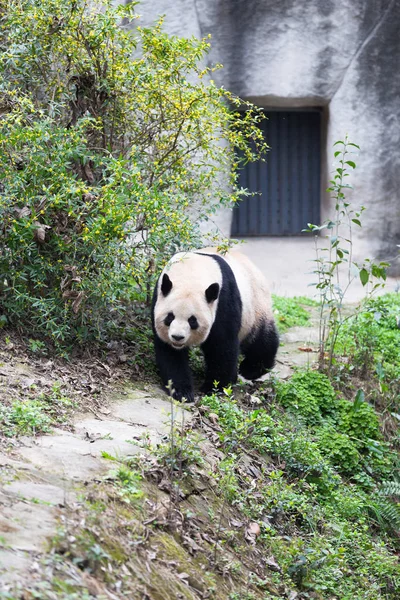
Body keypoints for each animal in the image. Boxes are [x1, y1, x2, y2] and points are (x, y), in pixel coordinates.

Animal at [152, 248, 280, 404]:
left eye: (193, 321)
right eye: (169, 317)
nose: (177, 337)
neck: (191, 272)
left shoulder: (223, 300)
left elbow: (222, 346)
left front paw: (214, 387)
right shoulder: (158, 296)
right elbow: (170, 353)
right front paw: (182, 391)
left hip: (255, 306)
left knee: (261, 339)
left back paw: (251, 369)